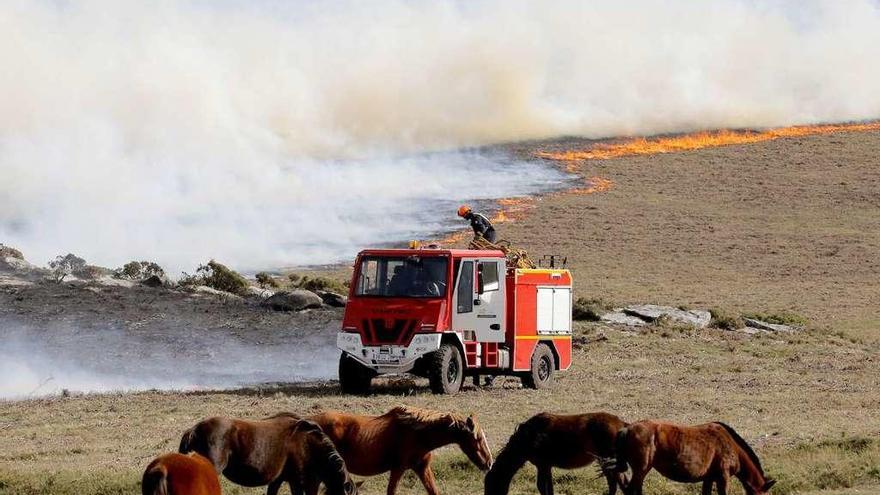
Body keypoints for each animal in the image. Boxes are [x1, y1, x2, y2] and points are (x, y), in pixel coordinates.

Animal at [306, 406, 492, 495]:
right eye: (478, 439)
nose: (489, 463)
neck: (418, 434)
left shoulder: (422, 468)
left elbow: (434, 491)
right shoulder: (398, 469)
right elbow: (391, 491)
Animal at [484, 410, 628, 495]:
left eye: (490, 485)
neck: (529, 436)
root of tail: (621, 423)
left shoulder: (543, 465)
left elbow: (542, 487)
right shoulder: (546, 466)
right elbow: (548, 488)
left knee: (617, 483)